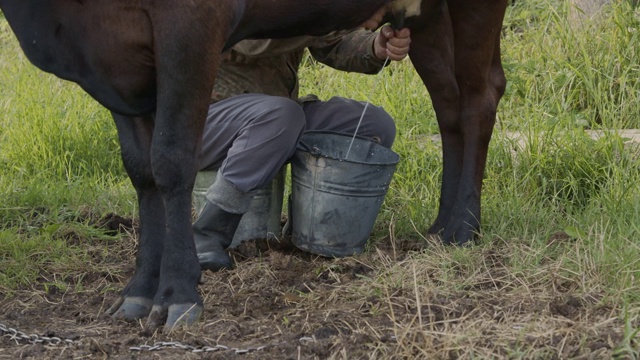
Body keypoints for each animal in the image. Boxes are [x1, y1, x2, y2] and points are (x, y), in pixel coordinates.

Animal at [1, 0, 510, 330]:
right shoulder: (114, 64)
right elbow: (142, 171)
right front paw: (139, 292)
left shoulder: (192, 24)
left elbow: (171, 161)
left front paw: (178, 295)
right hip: (431, 15)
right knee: (448, 100)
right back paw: (440, 227)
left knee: (478, 97)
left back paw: (464, 227)